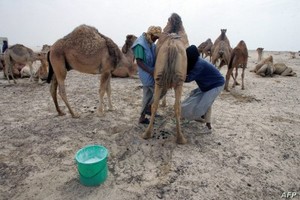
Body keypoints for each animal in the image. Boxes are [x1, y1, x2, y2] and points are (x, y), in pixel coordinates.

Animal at [142, 12, 189, 144]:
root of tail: (172, 45)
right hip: (177, 81)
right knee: (175, 106)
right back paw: (180, 138)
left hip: (162, 78)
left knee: (158, 104)